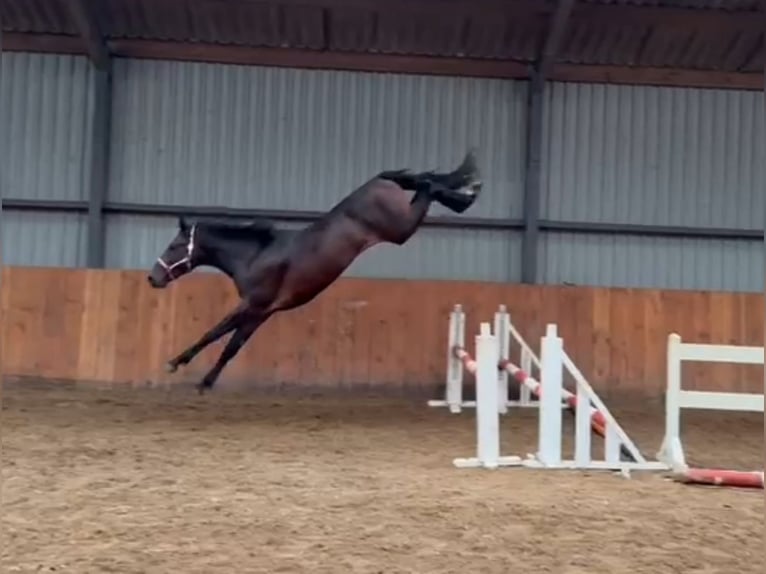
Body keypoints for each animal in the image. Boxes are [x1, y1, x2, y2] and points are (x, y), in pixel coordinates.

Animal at [147, 152, 484, 396]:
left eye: (175, 246)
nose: (153, 277)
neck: (256, 255)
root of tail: (379, 179)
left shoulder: (254, 306)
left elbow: (220, 337)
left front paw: (187, 372)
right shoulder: (260, 313)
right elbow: (226, 341)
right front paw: (192, 373)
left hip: (400, 229)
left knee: (428, 187)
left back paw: (467, 193)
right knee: (428, 184)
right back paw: (467, 192)